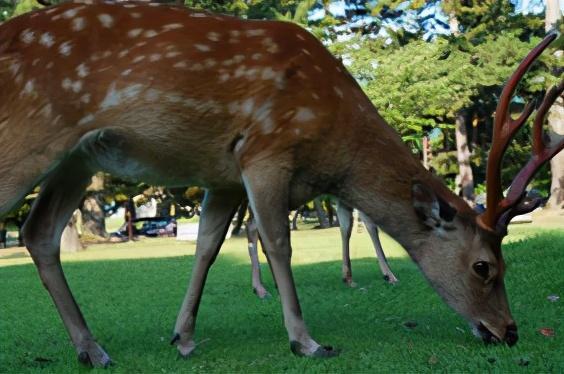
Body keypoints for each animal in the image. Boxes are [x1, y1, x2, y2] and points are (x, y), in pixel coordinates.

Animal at [0, 0, 560, 366]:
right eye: (484, 267)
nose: (509, 331)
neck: (334, 146)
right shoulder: (266, 151)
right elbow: (277, 242)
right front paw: (305, 340)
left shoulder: (223, 174)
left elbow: (207, 245)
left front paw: (182, 336)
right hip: (29, 134)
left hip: (78, 157)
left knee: (38, 231)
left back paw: (91, 349)